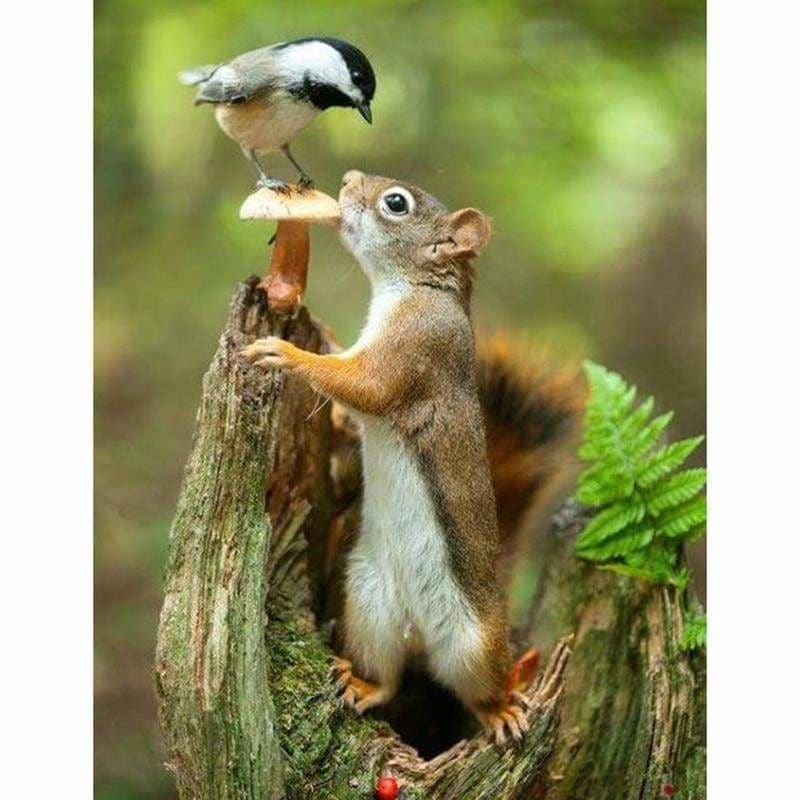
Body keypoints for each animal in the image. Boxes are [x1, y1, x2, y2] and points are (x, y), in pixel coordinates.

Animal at [242, 170, 584, 743]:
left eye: (395, 203)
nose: (347, 180)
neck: (414, 288)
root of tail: (419, 632)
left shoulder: (415, 350)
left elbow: (363, 387)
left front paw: (286, 353)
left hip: (474, 644)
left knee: (479, 688)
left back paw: (501, 709)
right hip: (368, 605)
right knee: (390, 677)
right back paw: (362, 684)